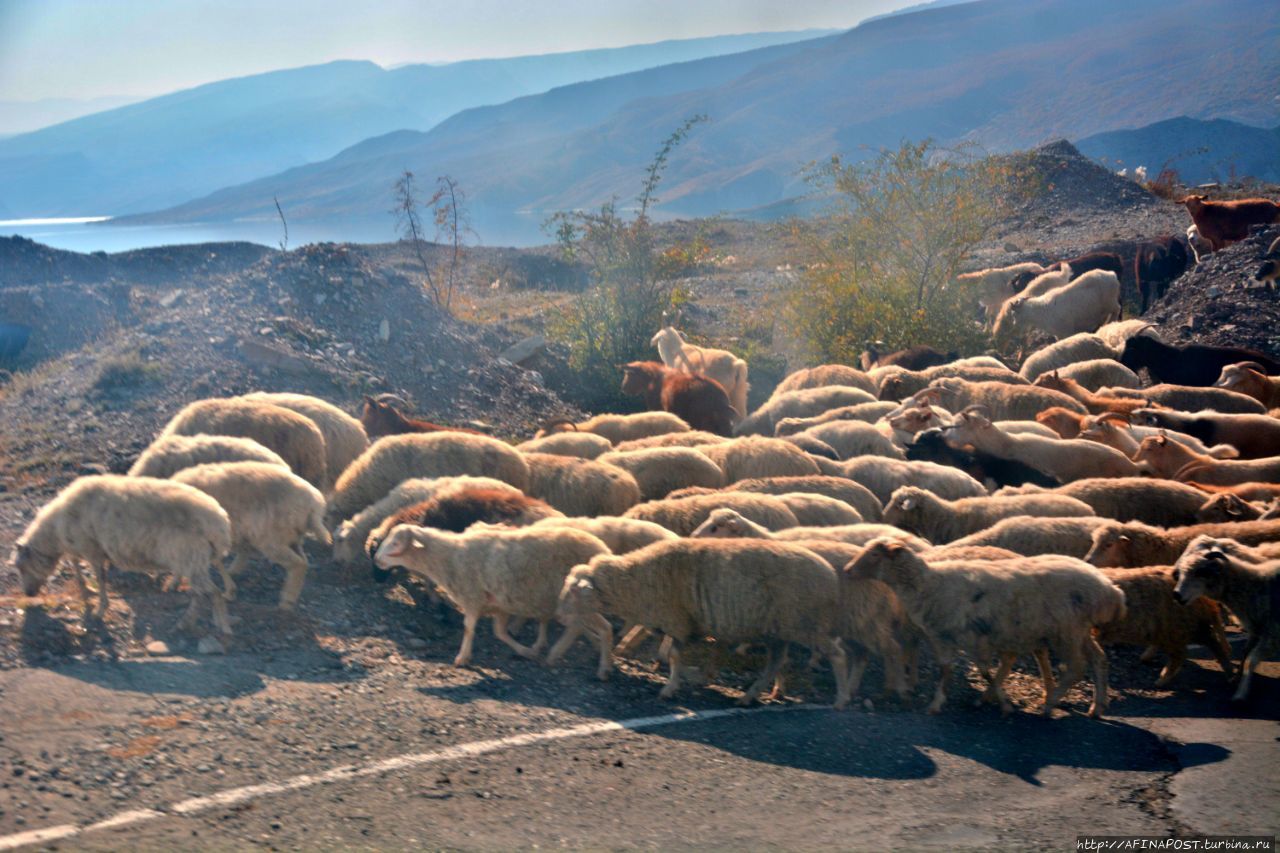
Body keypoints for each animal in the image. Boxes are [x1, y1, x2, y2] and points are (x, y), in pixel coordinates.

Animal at [13, 479, 234, 630]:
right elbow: (76, 564)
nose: (28, 594)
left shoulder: (92, 549)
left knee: (210, 592)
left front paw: (99, 609)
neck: (56, 530)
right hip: (196, 556)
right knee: (206, 584)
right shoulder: (81, 548)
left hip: (189, 556)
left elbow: (100, 578)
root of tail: (220, 520)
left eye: (21, 567)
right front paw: (85, 590)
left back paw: (220, 625)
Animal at [170, 461, 330, 607]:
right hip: (292, 537)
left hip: (272, 539)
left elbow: (209, 562)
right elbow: (215, 561)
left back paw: (286, 601)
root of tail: (315, 503)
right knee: (304, 561)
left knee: (298, 564)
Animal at [373, 522, 609, 666]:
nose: (376, 559)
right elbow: (500, 633)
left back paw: (596, 664)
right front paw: (525, 651)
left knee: (595, 627)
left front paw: (462, 657)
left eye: (395, 542)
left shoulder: (472, 598)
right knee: (581, 626)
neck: (450, 557)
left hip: (578, 600)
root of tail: (603, 550)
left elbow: (468, 628)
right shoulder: (498, 604)